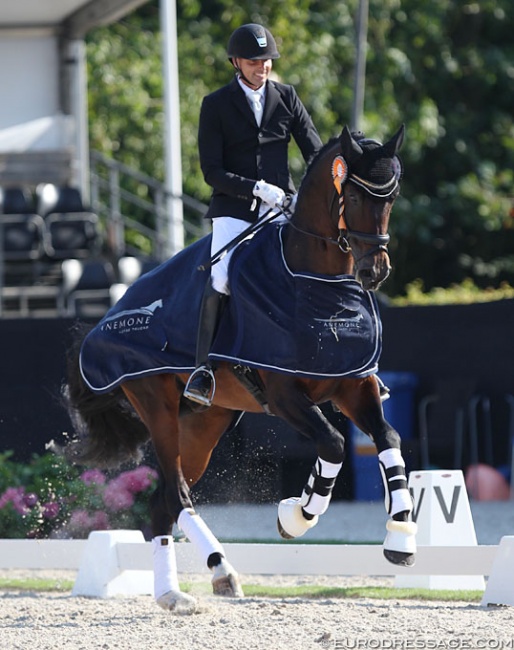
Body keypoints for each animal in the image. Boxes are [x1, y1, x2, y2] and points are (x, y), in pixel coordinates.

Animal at [65, 124, 416, 612]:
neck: (316, 283)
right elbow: (331, 444)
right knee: (176, 495)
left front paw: (401, 539)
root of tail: (104, 321)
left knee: (163, 503)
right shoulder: (285, 395)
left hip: (205, 422)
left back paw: (196, 582)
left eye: (392, 197)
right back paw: (195, 582)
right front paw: (298, 514)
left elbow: (388, 439)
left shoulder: (353, 386)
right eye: (353, 196)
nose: (375, 272)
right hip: (158, 407)